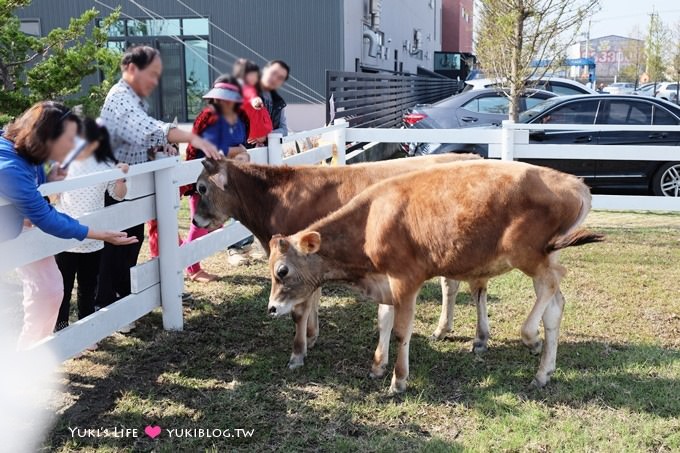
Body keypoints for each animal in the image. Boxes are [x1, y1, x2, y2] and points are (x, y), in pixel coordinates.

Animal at [193, 154, 484, 370]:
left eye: (201, 187)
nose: (196, 220)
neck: (276, 199)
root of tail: (468, 156)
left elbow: (300, 310)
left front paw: (298, 352)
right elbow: (314, 300)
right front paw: (311, 336)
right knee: (453, 285)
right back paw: (445, 330)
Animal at [268, 160, 604, 392]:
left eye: (283, 271)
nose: (271, 308)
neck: (371, 221)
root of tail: (573, 183)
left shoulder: (405, 280)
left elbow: (402, 331)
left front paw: (398, 380)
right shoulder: (384, 281)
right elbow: (383, 322)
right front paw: (378, 365)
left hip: (528, 254)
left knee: (552, 282)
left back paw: (531, 337)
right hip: (544, 255)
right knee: (554, 305)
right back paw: (543, 372)